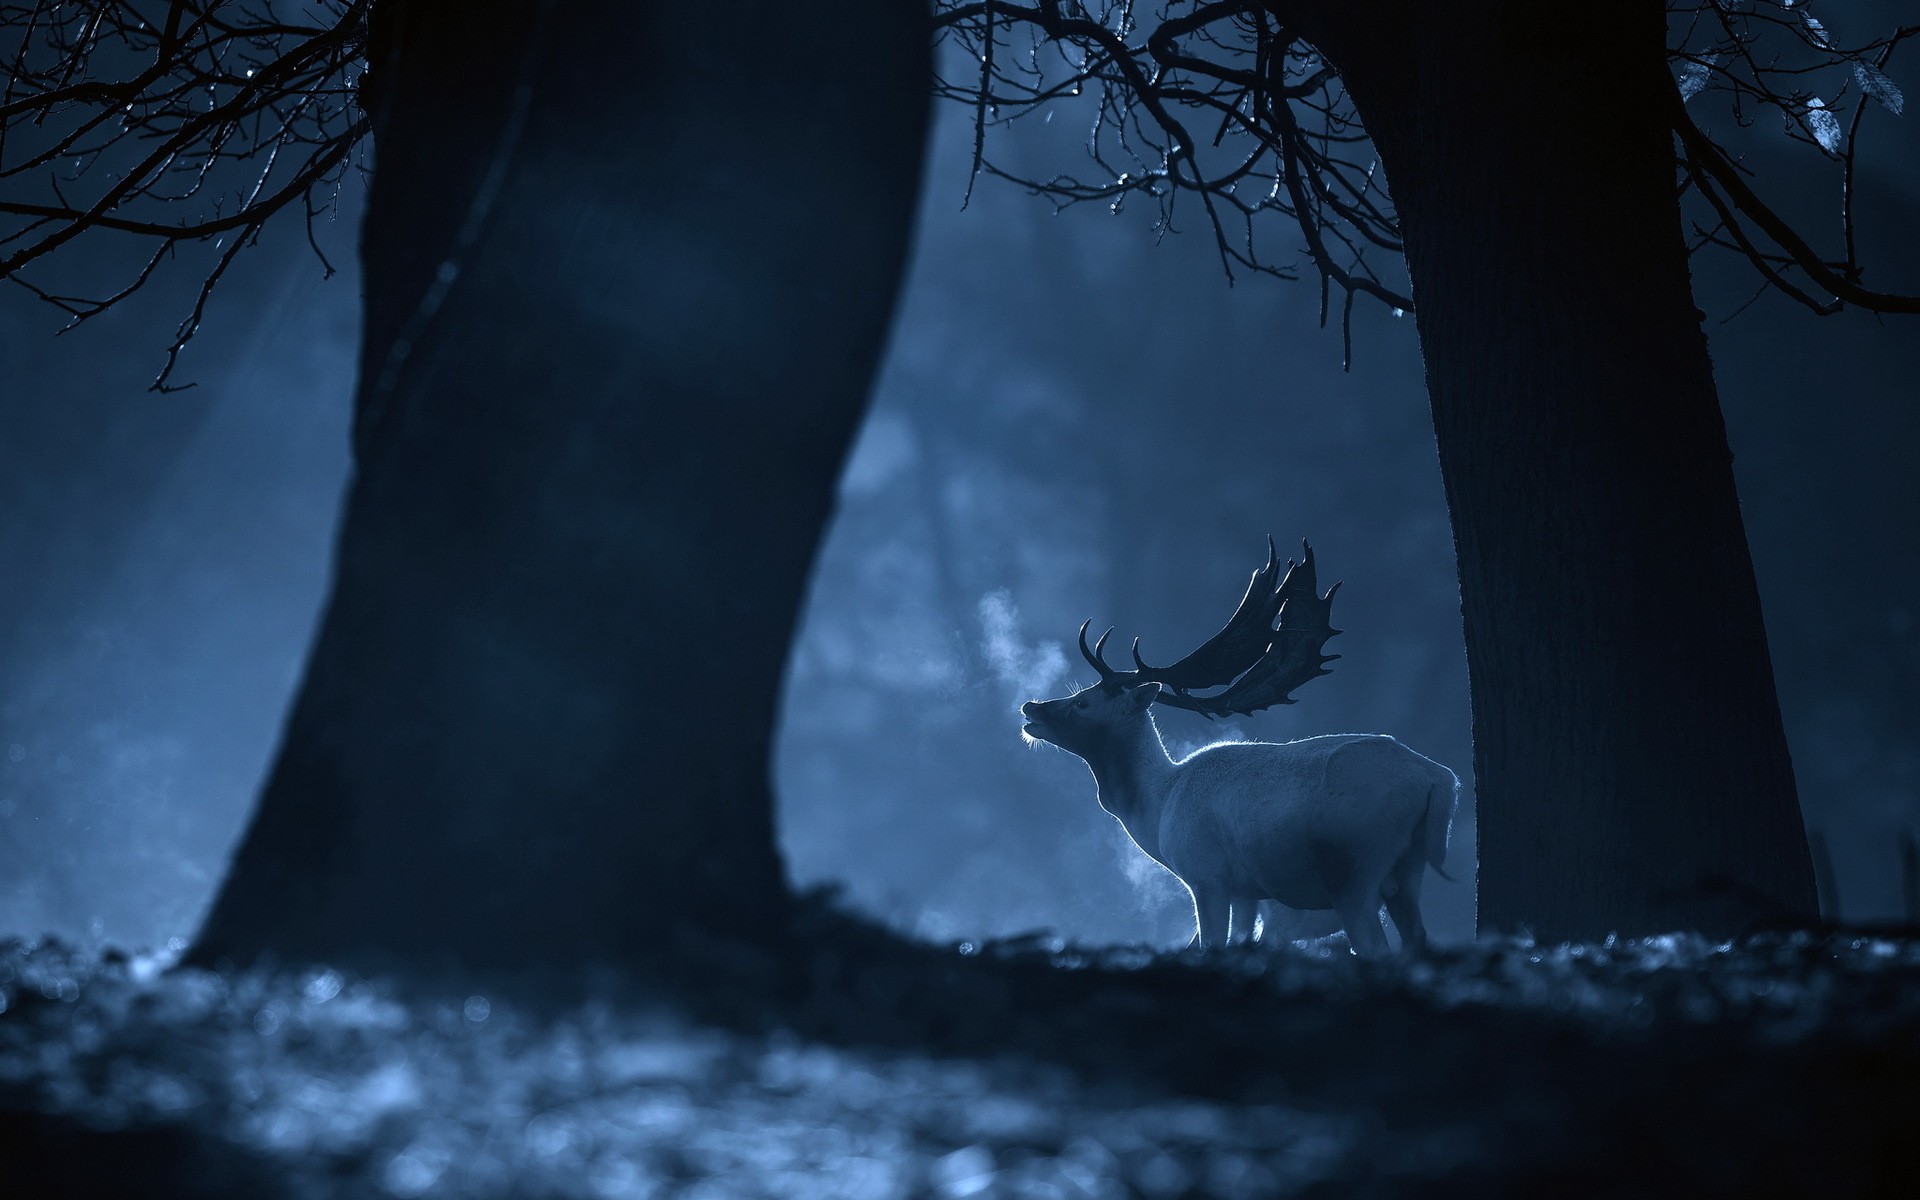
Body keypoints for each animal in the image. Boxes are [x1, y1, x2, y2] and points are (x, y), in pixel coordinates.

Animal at [1019, 540, 1459, 959]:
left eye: (1082, 702)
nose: (1031, 707)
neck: (1157, 808)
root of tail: (1439, 779)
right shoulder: (1247, 893)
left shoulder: (1207, 876)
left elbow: (1210, 943)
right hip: (1407, 869)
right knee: (1415, 938)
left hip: (1353, 866)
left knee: (1373, 942)